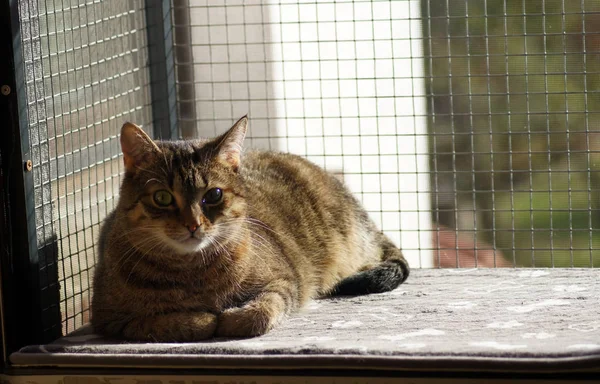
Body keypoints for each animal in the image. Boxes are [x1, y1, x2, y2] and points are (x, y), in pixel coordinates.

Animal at [91, 117, 410, 342]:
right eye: (162, 197)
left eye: (214, 195)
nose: (193, 224)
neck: (194, 273)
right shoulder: (109, 318)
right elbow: (163, 321)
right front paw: (201, 319)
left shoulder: (284, 281)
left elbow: (260, 311)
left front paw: (232, 318)